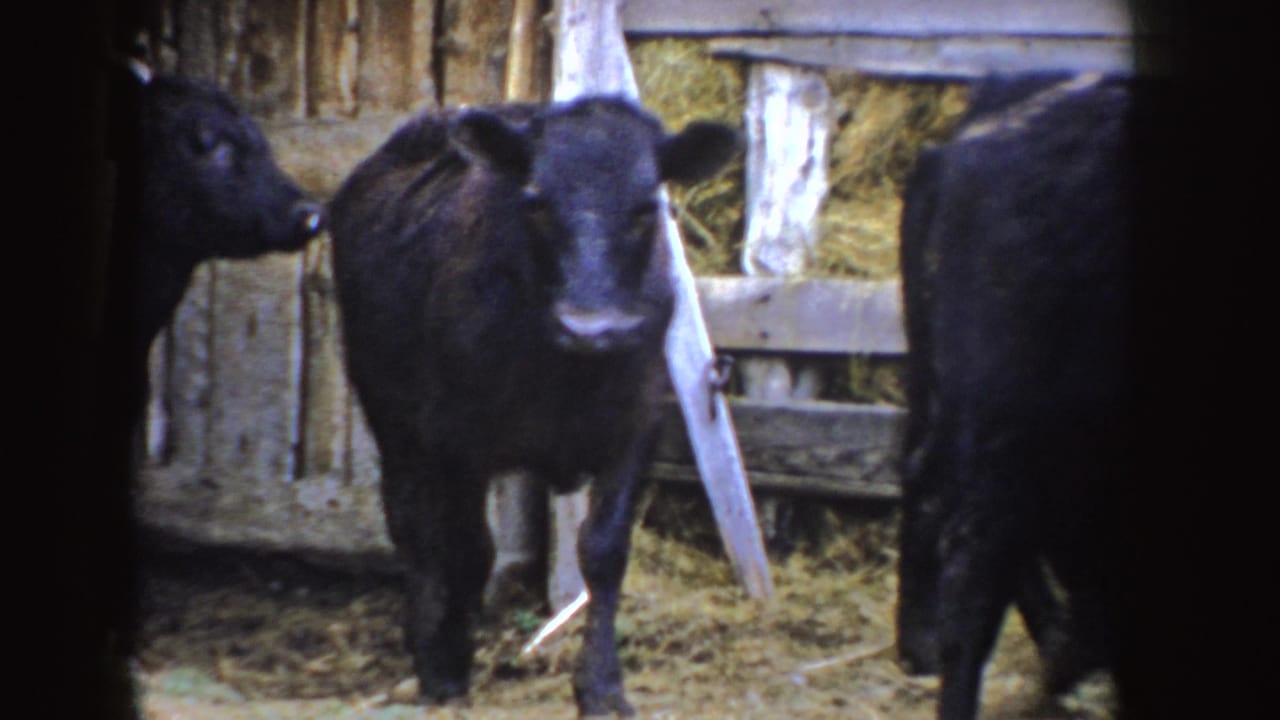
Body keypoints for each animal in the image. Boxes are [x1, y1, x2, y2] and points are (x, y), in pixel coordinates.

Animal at [327, 96, 738, 716]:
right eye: (537, 202)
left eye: (648, 208)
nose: (592, 328)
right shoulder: (455, 436)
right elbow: (468, 548)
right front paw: (448, 662)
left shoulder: (636, 428)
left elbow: (604, 551)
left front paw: (602, 686)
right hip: (387, 408)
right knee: (410, 523)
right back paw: (424, 635)